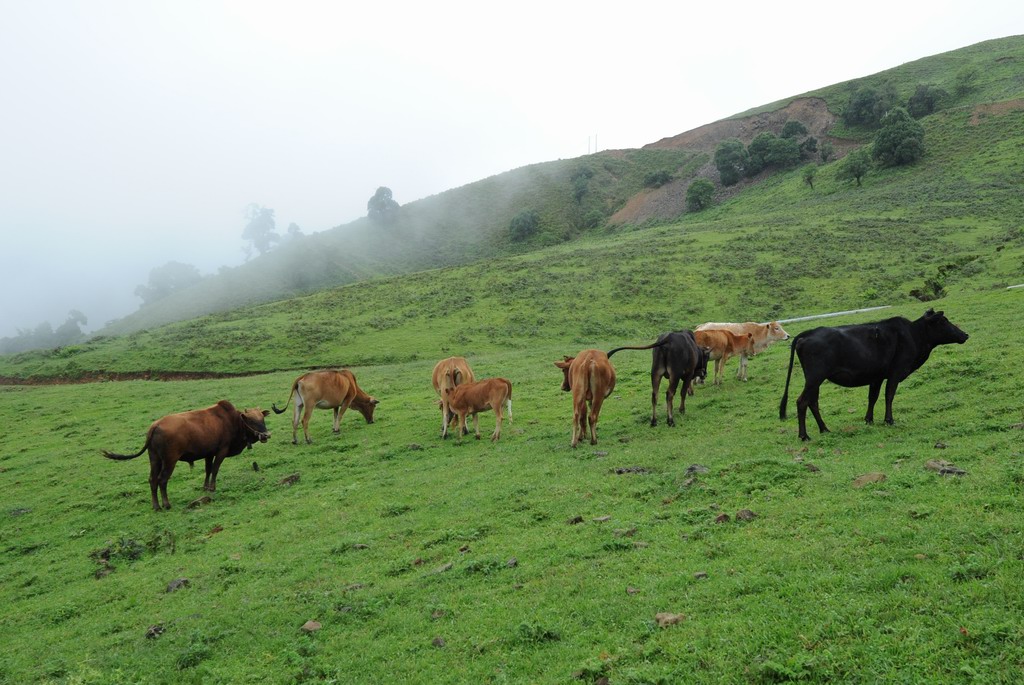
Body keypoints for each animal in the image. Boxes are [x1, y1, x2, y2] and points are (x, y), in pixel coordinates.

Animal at [778, 309, 970, 438]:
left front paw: (869, 420)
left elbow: (873, 397)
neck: (914, 335)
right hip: (815, 377)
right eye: (943, 321)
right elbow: (889, 395)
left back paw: (824, 429)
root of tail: (808, 333)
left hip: (814, 379)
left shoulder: (876, 376)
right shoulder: (895, 372)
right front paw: (889, 420)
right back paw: (804, 435)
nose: (965, 335)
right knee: (802, 401)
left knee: (813, 402)